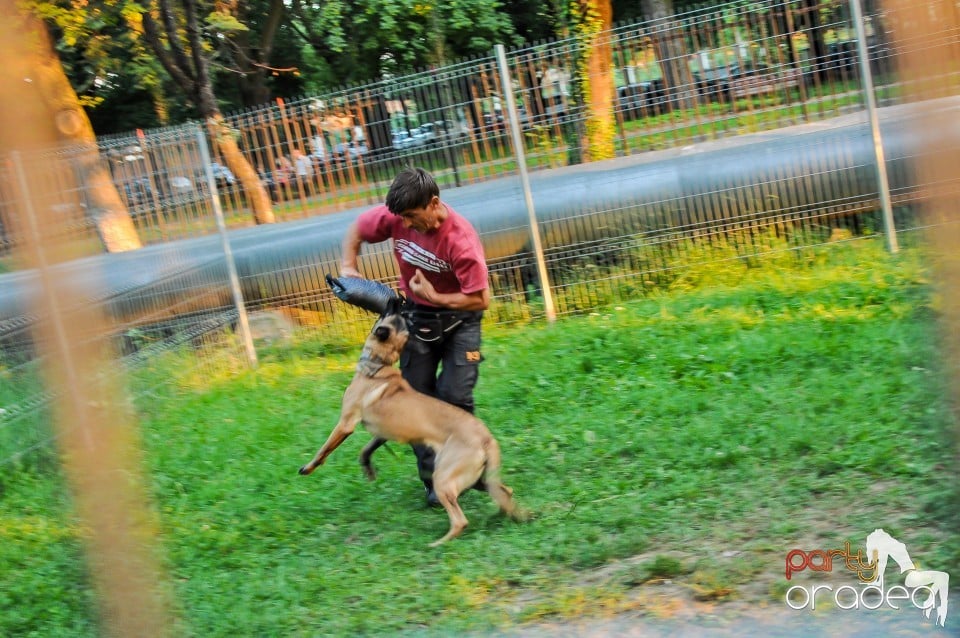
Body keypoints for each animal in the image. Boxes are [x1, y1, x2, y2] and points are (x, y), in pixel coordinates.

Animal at [298, 302, 524, 548]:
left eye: (390, 313)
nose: (397, 301)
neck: (379, 366)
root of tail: (486, 438)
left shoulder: (346, 423)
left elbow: (324, 449)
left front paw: (308, 468)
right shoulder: (382, 433)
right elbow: (366, 449)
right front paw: (367, 467)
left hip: (443, 479)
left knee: (460, 521)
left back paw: (437, 543)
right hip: (478, 479)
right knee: (506, 491)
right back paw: (502, 514)